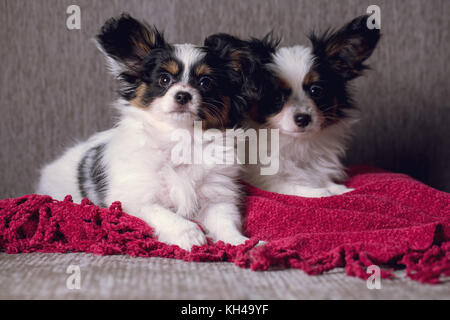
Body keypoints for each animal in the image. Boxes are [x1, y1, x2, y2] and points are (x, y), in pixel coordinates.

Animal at [36, 14, 253, 250]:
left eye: (205, 82)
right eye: (164, 79)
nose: (183, 95)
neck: (180, 137)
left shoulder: (216, 196)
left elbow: (225, 222)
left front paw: (243, 243)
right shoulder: (134, 197)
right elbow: (162, 213)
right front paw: (189, 235)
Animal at [207, 16, 380, 198]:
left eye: (316, 90)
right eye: (276, 97)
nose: (303, 118)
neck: (297, 144)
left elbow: (330, 185)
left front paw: (341, 190)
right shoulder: (265, 181)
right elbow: (299, 188)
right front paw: (323, 192)